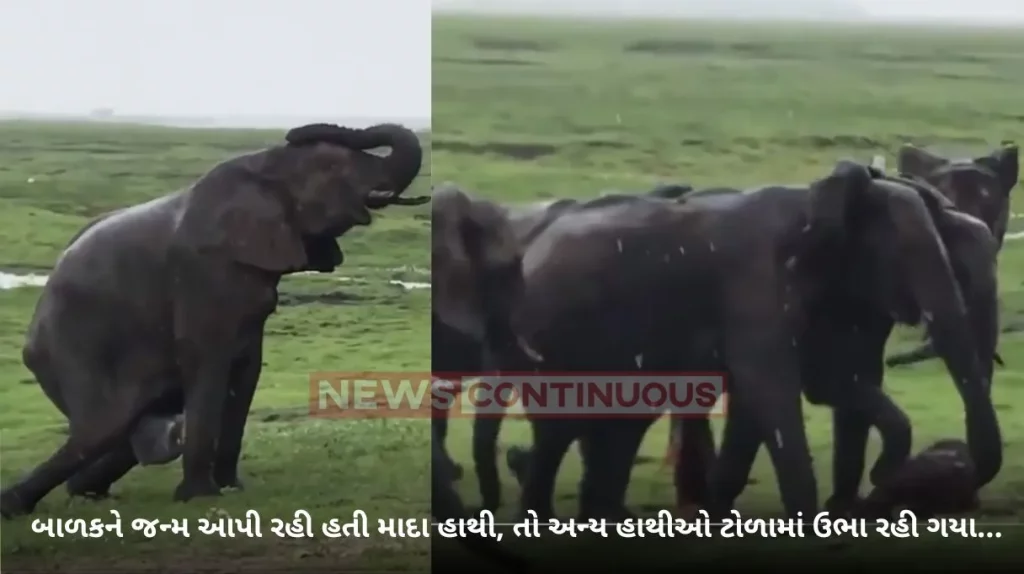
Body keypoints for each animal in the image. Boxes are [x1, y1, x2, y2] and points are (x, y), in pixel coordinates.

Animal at [0, 122, 428, 518]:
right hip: (73, 347)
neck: (263, 165)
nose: (295, 131)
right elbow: (207, 363)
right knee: (104, 426)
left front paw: (232, 489)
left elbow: (246, 371)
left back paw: (85, 490)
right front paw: (200, 497)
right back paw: (16, 505)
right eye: (333, 166)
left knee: (129, 429)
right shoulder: (201, 274)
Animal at [469, 161, 1001, 520]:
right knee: (561, 430)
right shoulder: (753, 281)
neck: (814, 199)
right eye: (904, 255)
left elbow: (794, 389)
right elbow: (770, 387)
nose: (888, 483)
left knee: (612, 429)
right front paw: (809, 521)